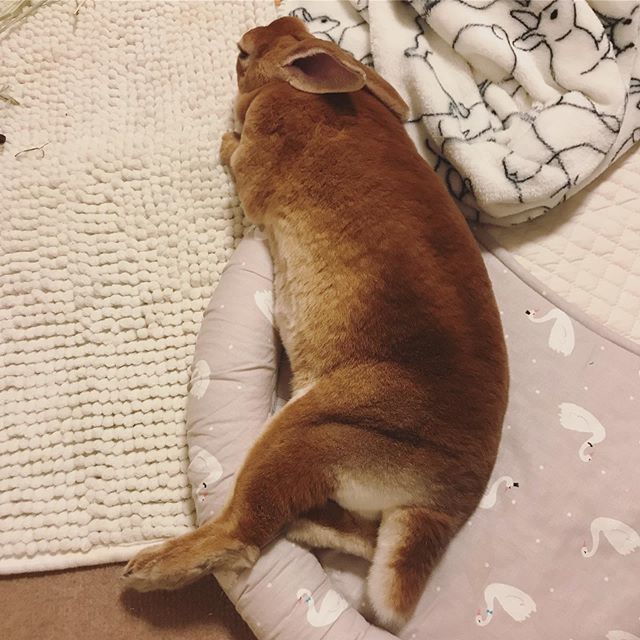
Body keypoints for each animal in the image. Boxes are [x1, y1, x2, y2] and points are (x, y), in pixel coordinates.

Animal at [122, 16, 508, 631]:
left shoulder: (259, 160)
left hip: (307, 431)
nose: (245, 35)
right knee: (360, 540)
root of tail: (437, 506)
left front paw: (226, 141)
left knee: (241, 535)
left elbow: (243, 166)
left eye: (242, 55)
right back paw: (302, 530)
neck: (293, 87)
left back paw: (153, 566)